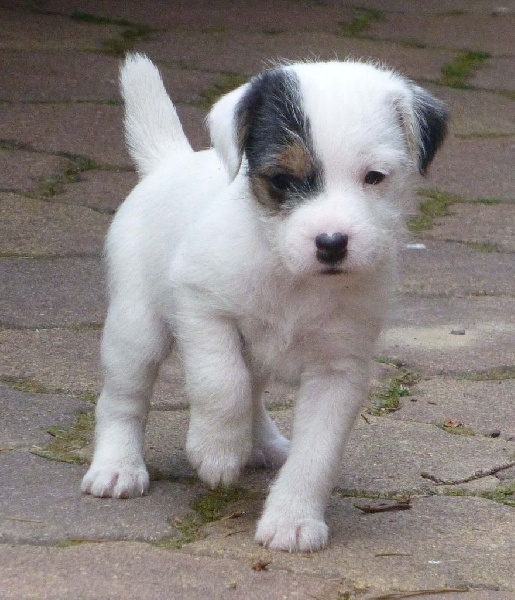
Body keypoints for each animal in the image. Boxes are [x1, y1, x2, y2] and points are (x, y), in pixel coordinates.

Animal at [81, 54, 448, 552]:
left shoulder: (338, 371)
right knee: (124, 399)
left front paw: (293, 519)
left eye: (374, 177)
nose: (331, 243)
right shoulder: (201, 307)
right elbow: (221, 383)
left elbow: (318, 453)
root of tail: (168, 163)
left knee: (254, 393)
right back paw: (118, 467)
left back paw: (265, 445)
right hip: (136, 329)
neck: (291, 275)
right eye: (281, 179)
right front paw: (216, 451)